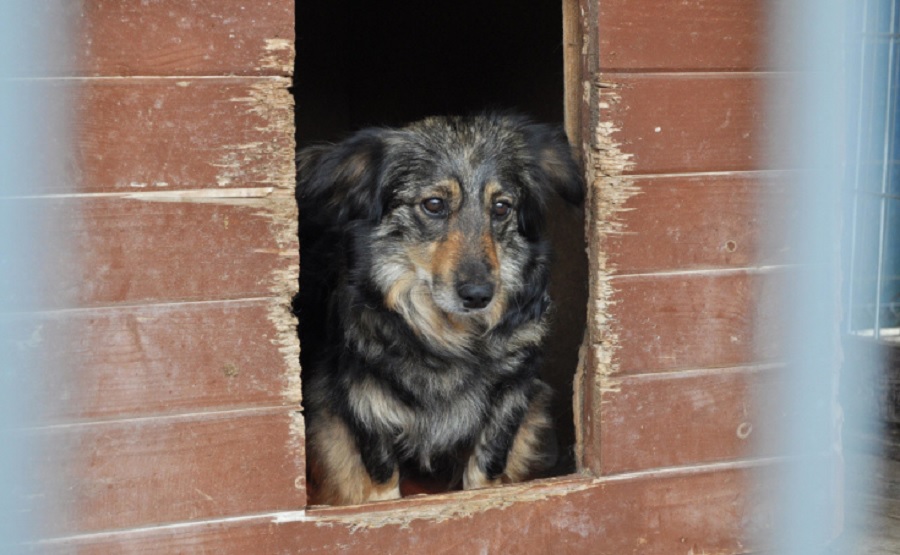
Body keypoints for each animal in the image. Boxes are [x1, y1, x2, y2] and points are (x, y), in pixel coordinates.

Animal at [296, 115, 584, 506]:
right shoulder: (362, 403)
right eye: (433, 204)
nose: (479, 295)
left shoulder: (511, 400)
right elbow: (382, 481)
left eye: (501, 207)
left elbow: (486, 471)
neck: (447, 335)